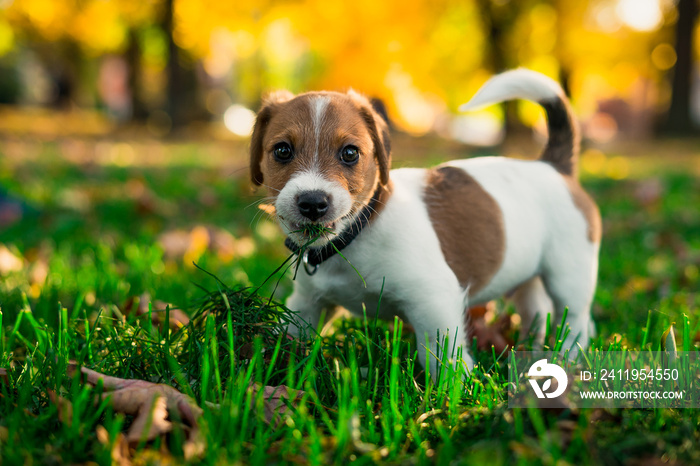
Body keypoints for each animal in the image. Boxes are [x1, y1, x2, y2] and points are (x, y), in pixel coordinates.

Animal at [249, 69, 600, 376]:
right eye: (282, 150)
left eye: (350, 153)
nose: (312, 203)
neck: (359, 233)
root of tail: (554, 166)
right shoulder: (306, 303)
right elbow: (291, 332)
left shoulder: (433, 299)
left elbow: (440, 352)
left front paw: (453, 391)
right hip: (526, 276)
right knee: (536, 312)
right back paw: (531, 351)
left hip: (569, 274)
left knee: (577, 321)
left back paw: (567, 358)